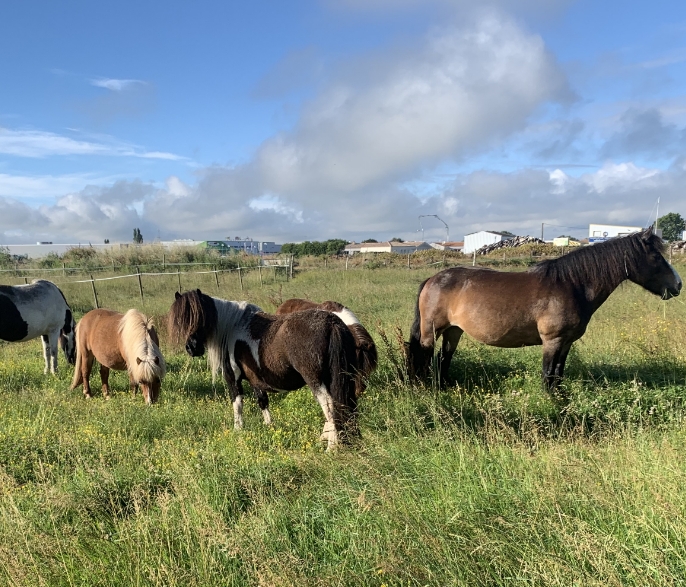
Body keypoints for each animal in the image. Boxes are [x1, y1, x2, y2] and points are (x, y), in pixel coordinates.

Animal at [168, 290, 360, 450]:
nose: (191, 348)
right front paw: (269, 427)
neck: (232, 327)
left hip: (316, 381)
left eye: (201, 317)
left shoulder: (233, 378)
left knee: (330, 407)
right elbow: (263, 401)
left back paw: (330, 447)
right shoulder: (256, 380)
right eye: (182, 321)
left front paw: (238, 430)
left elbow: (237, 405)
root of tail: (332, 323)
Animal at [408, 230, 684, 396]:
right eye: (656, 257)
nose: (678, 284)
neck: (572, 285)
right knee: (424, 356)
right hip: (431, 331)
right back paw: (424, 388)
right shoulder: (552, 340)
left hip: (454, 331)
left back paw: (444, 387)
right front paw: (550, 401)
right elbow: (547, 373)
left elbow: (558, 373)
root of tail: (433, 279)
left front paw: (561, 397)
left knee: (444, 358)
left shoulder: (566, 342)